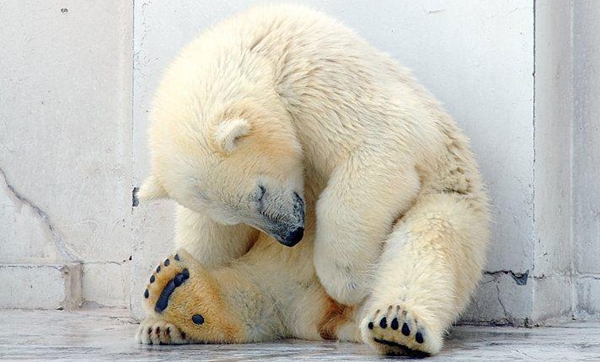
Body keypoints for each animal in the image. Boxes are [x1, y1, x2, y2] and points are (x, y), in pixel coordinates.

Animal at [135, 3, 488, 356]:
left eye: (259, 192)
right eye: (237, 215)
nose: (293, 235)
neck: (257, 52)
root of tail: (319, 321)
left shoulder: (317, 79)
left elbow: (378, 145)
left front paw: (348, 280)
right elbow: (207, 237)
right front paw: (157, 325)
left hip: (450, 196)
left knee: (428, 241)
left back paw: (397, 324)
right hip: (271, 269)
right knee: (252, 292)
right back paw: (178, 290)